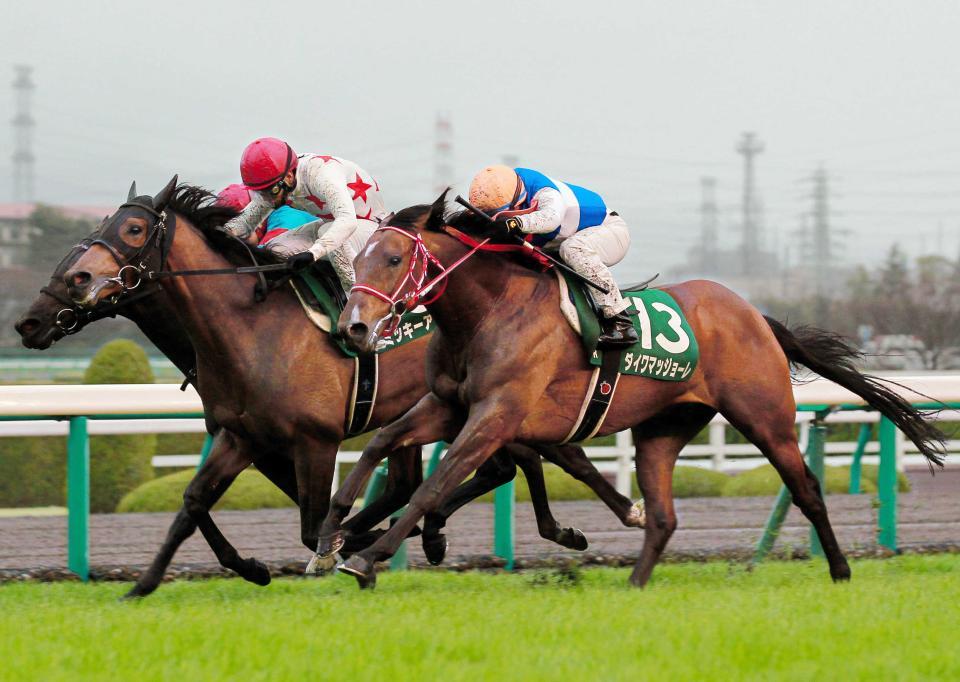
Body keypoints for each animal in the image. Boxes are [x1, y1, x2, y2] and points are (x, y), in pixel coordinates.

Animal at [60, 179, 644, 588]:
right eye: (108, 223)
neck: (250, 324)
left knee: (500, 464)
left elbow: (307, 520)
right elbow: (192, 502)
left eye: (133, 230)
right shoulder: (242, 434)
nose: (74, 279)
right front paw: (156, 581)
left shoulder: (313, 439)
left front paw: (342, 545)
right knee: (519, 459)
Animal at [316, 194, 944, 588]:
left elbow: (434, 484)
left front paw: (368, 556)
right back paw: (636, 583)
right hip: (663, 430)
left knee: (807, 488)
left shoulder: (497, 414)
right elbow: (382, 445)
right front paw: (331, 535)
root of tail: (755, 314)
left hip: (765, 417)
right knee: (664, 515)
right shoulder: (450, 405)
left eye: (393, 257)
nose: (355, 328)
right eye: (362, 257)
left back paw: (840, 570)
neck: (490, 310)